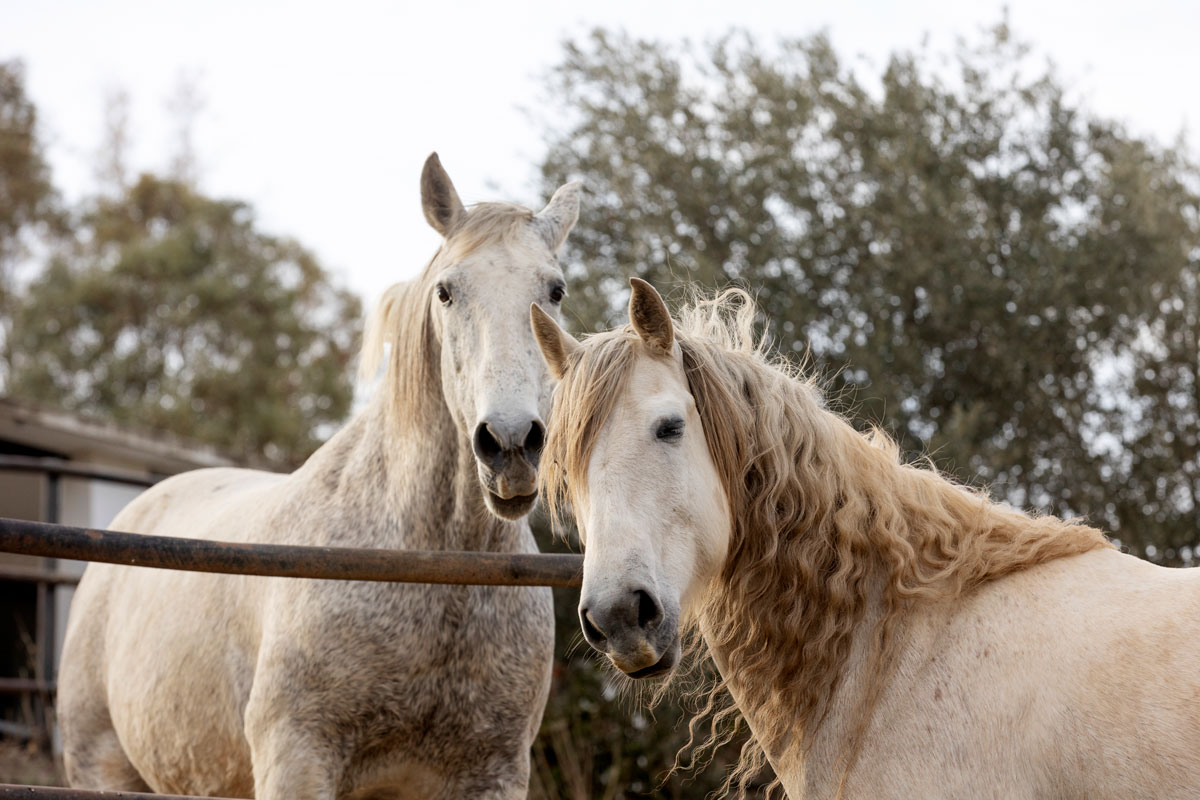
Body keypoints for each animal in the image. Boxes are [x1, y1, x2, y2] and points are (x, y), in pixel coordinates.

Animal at [57, 153, 581, 800]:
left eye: (555, 290)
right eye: (446, 292)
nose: (511, 444)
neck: (430, 568)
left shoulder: (493, 773)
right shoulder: (297, 759)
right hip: (102, 768)